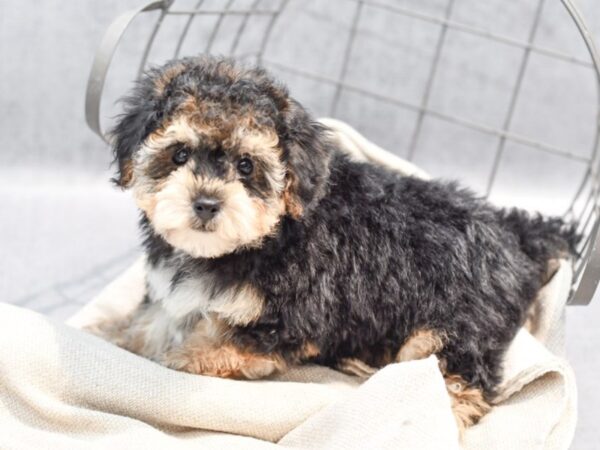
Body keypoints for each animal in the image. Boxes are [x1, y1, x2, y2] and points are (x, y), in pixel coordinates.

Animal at [92, 56, 576, 432]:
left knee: (450, 379)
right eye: (179, 154)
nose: (207, 204)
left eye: (246, 166)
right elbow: (148, 324)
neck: (259, 241)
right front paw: (115, 337)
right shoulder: (169, 297)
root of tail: (514, 233)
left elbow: (204, 350)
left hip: (458, 325)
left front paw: (171, 361)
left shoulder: (288, 318)